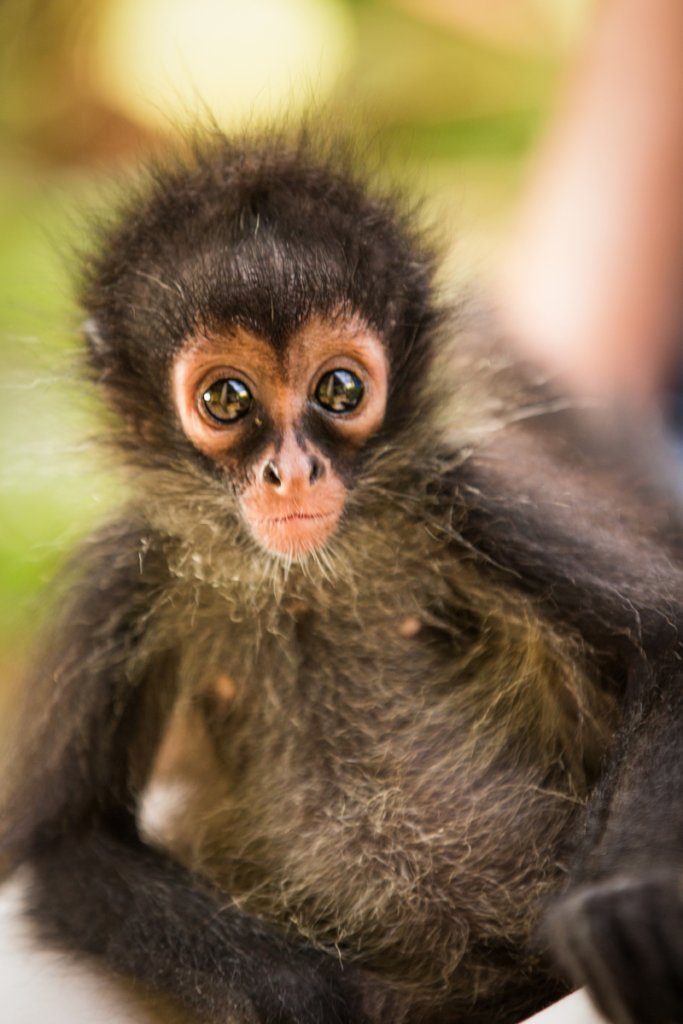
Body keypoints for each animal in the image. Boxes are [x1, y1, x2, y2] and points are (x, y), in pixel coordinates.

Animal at [2, 127, 683, 1024]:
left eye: (339, 388)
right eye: (226, 399)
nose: (292, 473)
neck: (301, 581)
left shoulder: (461, 494)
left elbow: (669, 646)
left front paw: (616, 905)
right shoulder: (127, 572)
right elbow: (64, 849)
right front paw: (302, 996)